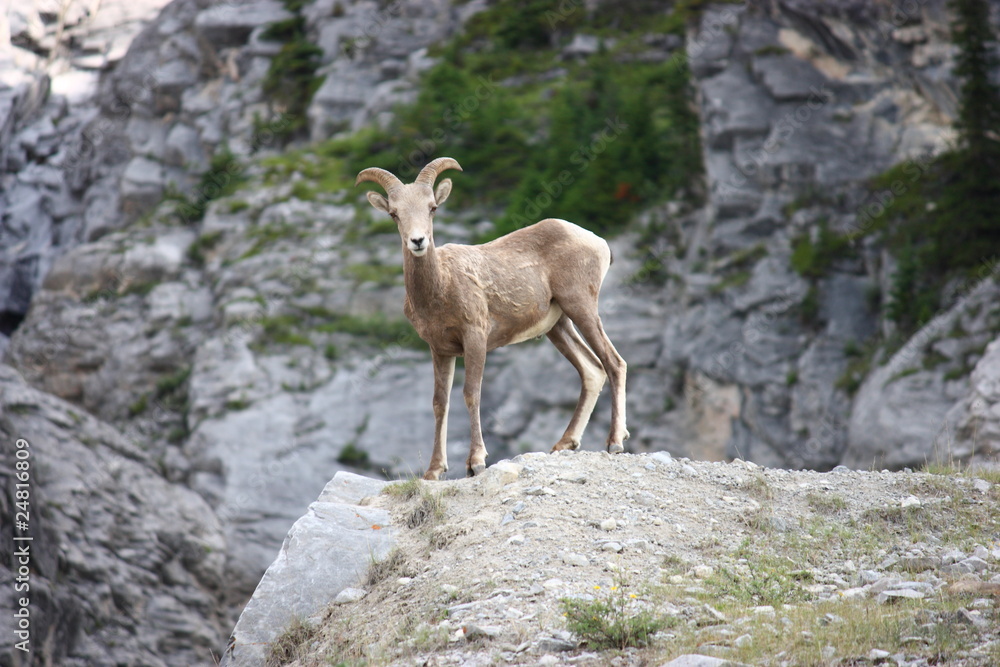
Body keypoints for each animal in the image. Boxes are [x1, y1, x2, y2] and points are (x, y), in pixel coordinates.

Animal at [356, 157, 628, 479]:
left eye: (432, 207)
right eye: (394, 214)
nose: (418, 241)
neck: (440, 287)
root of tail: (596, 241)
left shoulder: (475, 338)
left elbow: (471, 394)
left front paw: (475, 462)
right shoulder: (440, 350)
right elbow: (440, 403)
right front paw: (434, 471)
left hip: (582, 307)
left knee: (614, 363)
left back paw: (615, 443)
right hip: (558, 326)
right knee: (592, 370)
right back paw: (564, 444)